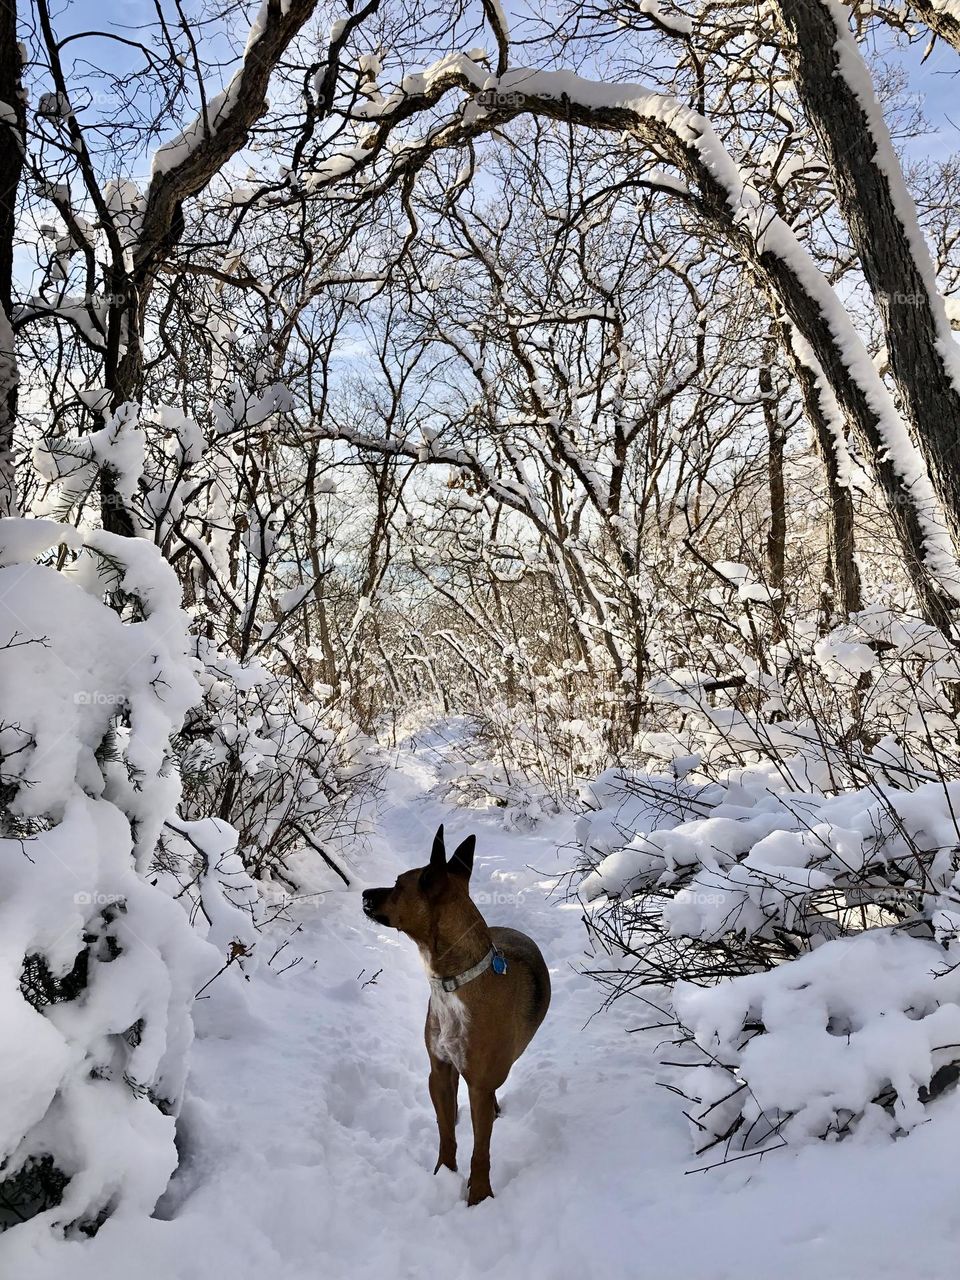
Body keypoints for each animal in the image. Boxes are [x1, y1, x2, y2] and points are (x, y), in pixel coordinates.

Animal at [363, 824, 552, 1203]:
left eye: (397, 885)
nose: (364, 894)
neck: (454, 982)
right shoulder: (439, 1071)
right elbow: (446, 1134)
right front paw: (445, 1175)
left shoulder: (479, 1084)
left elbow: (481, 1150)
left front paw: (478, 1196)